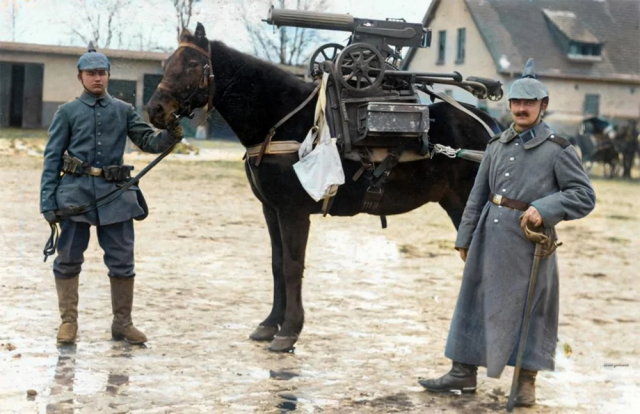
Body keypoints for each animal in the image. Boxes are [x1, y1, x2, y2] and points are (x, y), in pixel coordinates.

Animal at [148, 23, 502, 352]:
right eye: (168, 62)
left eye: (193, 64)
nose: (155, 110)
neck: (279, 120)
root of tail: (491, 128)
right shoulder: (271, 210)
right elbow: (277, 265)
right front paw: (270, 324)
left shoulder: (293, 212)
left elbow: (293, 267)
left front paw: (289, 331)